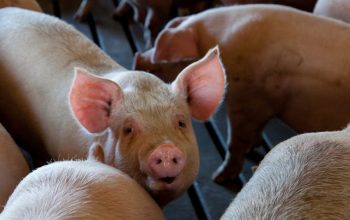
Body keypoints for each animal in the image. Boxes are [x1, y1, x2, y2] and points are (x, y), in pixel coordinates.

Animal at [133, 4, 350, 184]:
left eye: (159, 55)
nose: (138, 58)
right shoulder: (262, 106)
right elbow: (256, 131)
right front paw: (254, 146)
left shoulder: (247, 100)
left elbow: (235, 142)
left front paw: (218, 178)